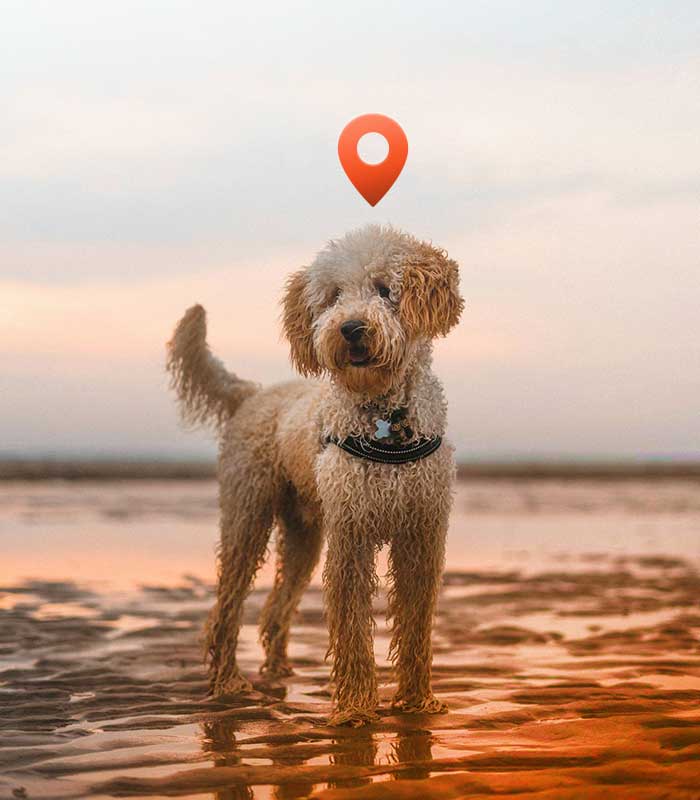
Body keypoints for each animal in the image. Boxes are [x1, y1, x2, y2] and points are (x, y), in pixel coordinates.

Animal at [166, 223, 464, 724]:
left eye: (385, 289)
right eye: (333, 296)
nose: (351, 329)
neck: (385, 417)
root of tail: (252, 394)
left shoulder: (421, 534)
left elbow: (417, 624)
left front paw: (417, 701)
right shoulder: (352, 537)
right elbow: (351, 626)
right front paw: (356, 708)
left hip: (304, 532)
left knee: (274, 608)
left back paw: (279, 669)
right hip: (247, 517)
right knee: (226, 609)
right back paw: (228, 683)